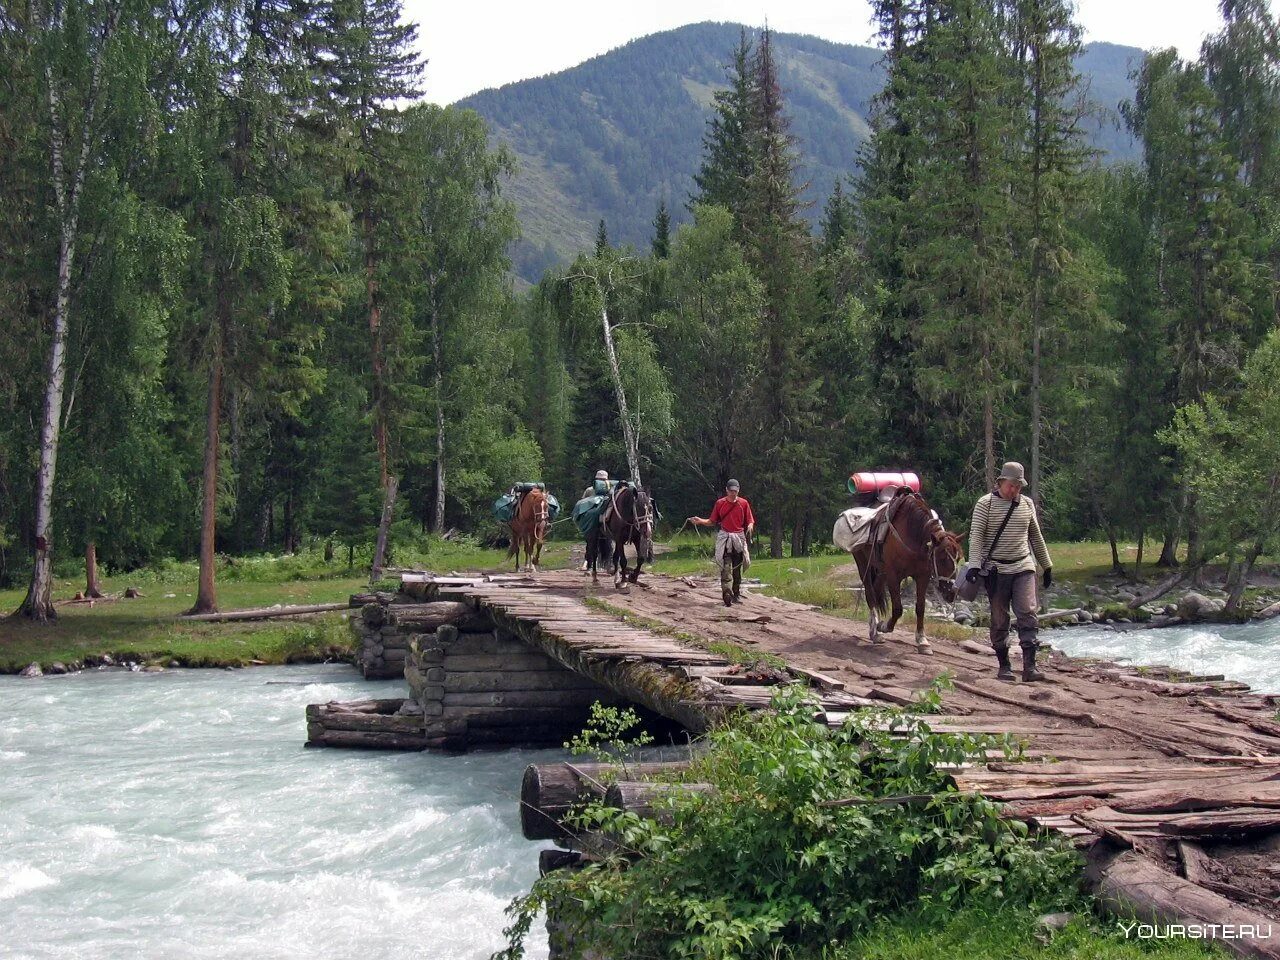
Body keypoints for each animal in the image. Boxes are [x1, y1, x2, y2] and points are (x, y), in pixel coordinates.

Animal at [849, 488, 962, 655]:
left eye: (959, 558)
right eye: (941, 558)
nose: (951, 592)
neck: (914, 536)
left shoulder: (922, 576)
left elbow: (920, 607)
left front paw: (922, 640)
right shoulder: (893, 576)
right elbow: (897, 608)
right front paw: (884, 626)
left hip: (881, 572)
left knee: (876, 592)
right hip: (863, 563)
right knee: (870, 595)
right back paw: (875, 632)